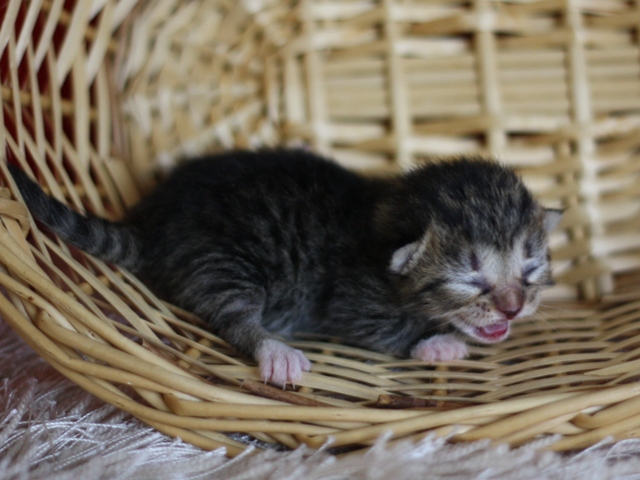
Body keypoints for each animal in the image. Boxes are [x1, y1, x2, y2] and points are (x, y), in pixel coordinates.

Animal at [8, 152, 560, 388]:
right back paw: (275, 351)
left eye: (530, 268)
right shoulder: (350, 298)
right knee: (231, 312)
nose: (512, 308)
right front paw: (440, 342)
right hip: (223, 260)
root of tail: (153, 223)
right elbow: (386, 330)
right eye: (470, 278)